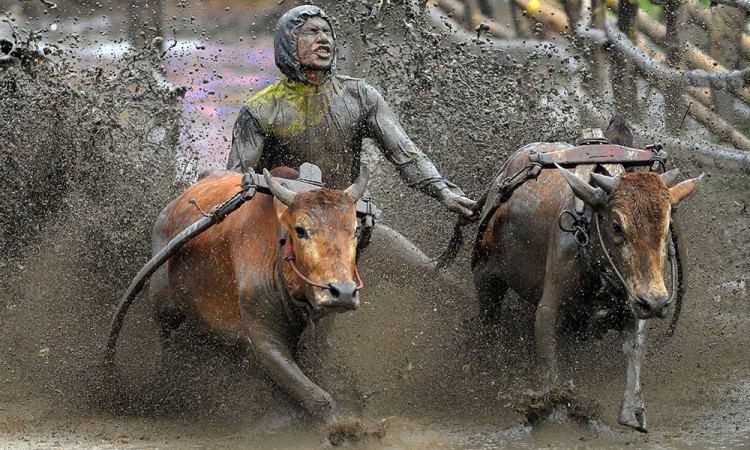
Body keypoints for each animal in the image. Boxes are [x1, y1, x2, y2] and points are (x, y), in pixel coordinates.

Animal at [148, 165, 370, 422]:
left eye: (355, 231)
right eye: (300, 230)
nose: (343, 292)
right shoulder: (265, 340)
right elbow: (317, 398)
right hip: (164, 308)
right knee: (166, 339)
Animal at [476, 145, 704, 432]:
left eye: (666, 230)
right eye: (617, 226)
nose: (656, 303)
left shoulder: (631, 306)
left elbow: (634, 351)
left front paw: (633, 411)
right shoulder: (548, 310)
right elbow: (549, 362)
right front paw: (553, 411)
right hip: (486, 276)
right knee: (488, 317)